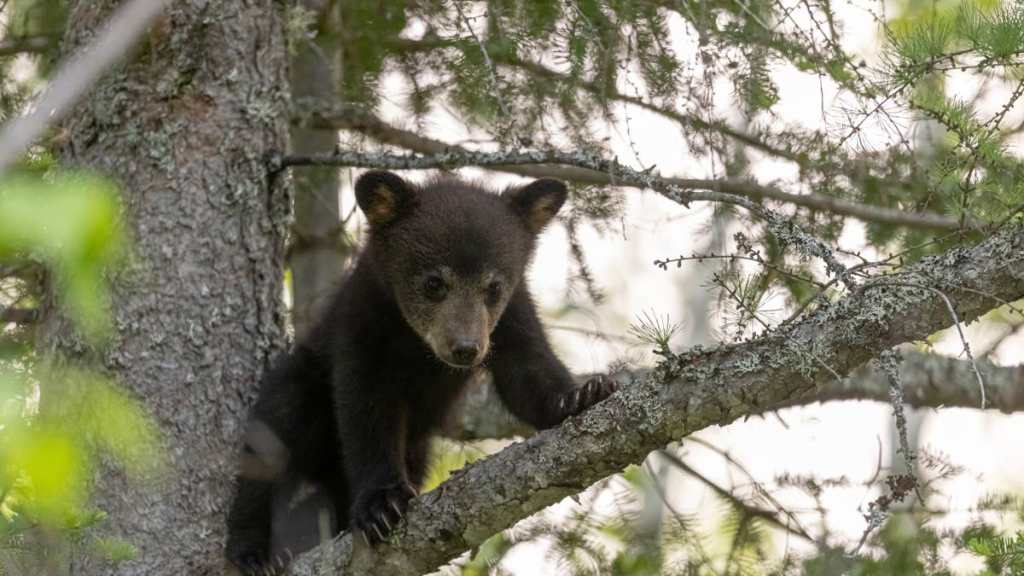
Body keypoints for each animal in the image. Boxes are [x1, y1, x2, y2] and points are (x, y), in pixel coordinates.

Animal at [225, 171, 619, 574]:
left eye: (493, 287)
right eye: (434, 283)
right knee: (270, 445)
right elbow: (364, 407)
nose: (465, 348)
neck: (417, 347)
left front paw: (581, 395)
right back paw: (255, 552)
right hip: (299, 387)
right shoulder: (362, 322)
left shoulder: (512, 316)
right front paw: (381, 504)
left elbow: (527, 372)